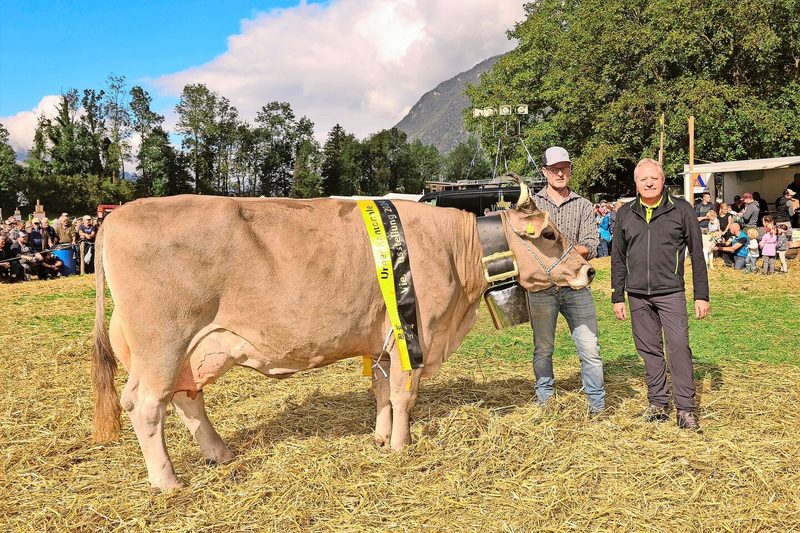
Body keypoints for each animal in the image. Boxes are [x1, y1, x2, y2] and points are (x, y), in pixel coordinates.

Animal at [91, 178, 595, 490]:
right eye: (549, 234)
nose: (588, 268)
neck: (456, 252)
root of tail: (114, 219)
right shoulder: (417, 334)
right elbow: (405, 394)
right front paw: (401, 447)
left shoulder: (384, 339)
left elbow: (382, 393)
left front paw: (380, 438)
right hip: (162, 343)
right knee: (145, 405)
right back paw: (168, 480)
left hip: (193, 349)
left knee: (186, 397)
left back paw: (220, 453)